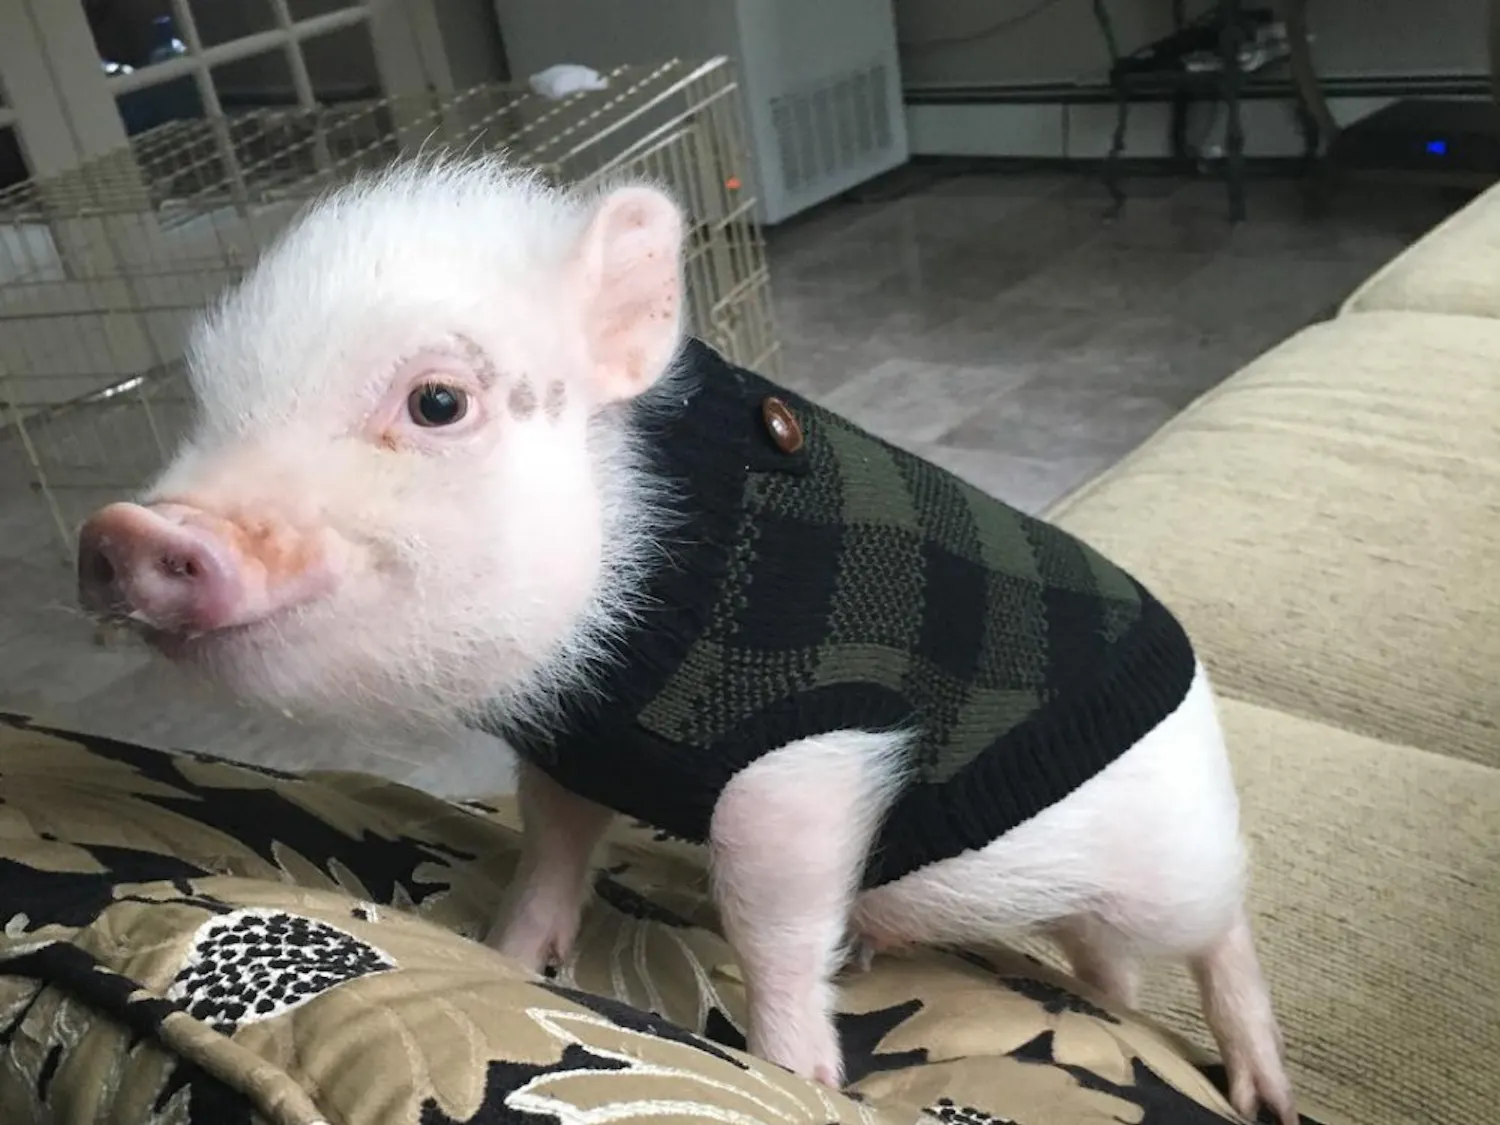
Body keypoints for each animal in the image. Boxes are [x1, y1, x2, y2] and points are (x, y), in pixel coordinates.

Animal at [76, 155, 1296, 1125]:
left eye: (437, 403)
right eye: (210, 403)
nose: (127, 530)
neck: (617, 659)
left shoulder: (811, 752)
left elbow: (769, 915)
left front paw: (800, 1076)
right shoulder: (569, 747)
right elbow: (551, 848)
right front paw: (509, 957)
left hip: (1174, 861)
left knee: (1222, 926)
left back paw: (1262, 1094)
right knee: (1109, 968)